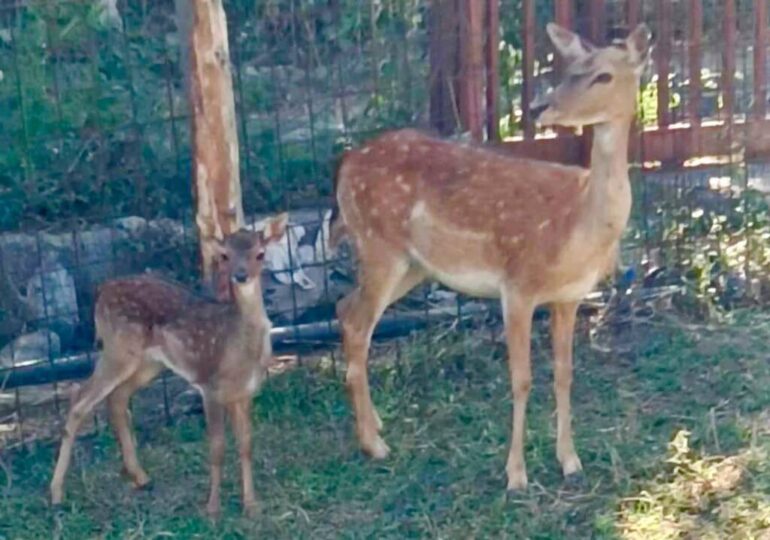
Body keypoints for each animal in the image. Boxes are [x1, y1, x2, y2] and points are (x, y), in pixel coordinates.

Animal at [49, 214, 288, 516]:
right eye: (224, 255)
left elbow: (246, 445)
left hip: (148, 363)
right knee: (79, 399)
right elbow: (217, 448)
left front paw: (251, 505)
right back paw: (56, 493)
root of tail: (101, 290)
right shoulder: (210, 386)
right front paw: (212, 508)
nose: (241, 275)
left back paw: (140, 477)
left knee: (117, 398)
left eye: (260, 253)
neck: (238, 347)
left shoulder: (244, 393)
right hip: (117, 347)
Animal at [328, 23, 648, 492]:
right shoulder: (517, 286)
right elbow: (521, 379)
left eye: (602, 75)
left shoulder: (570, 297)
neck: (575, 229)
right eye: (569, 67)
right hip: (378, 246)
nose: (539, 106)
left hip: (413, 265)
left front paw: (570, 461)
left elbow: (564, 373)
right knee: (356, 321)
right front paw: (516, 473)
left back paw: (377, 426)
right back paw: (374, 444)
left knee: (343, 307)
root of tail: (345, 165)